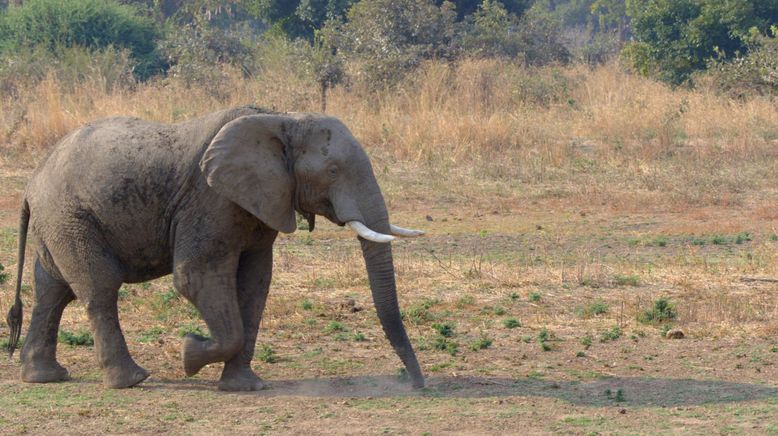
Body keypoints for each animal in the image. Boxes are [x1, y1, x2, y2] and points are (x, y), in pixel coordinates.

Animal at [4, 106, 424, 392]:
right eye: (333, 171)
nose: (417, 384)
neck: (281, 119)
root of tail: (32, 184)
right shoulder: (210, 200)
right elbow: (195, 277)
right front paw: (189, 353)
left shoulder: (260, 203)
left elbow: (255, 283)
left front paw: (245, 386)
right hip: (70, 217)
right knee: (99, 289)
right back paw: (131, 379)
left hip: (57, 223)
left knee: (52, 292)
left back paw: (44, 377)